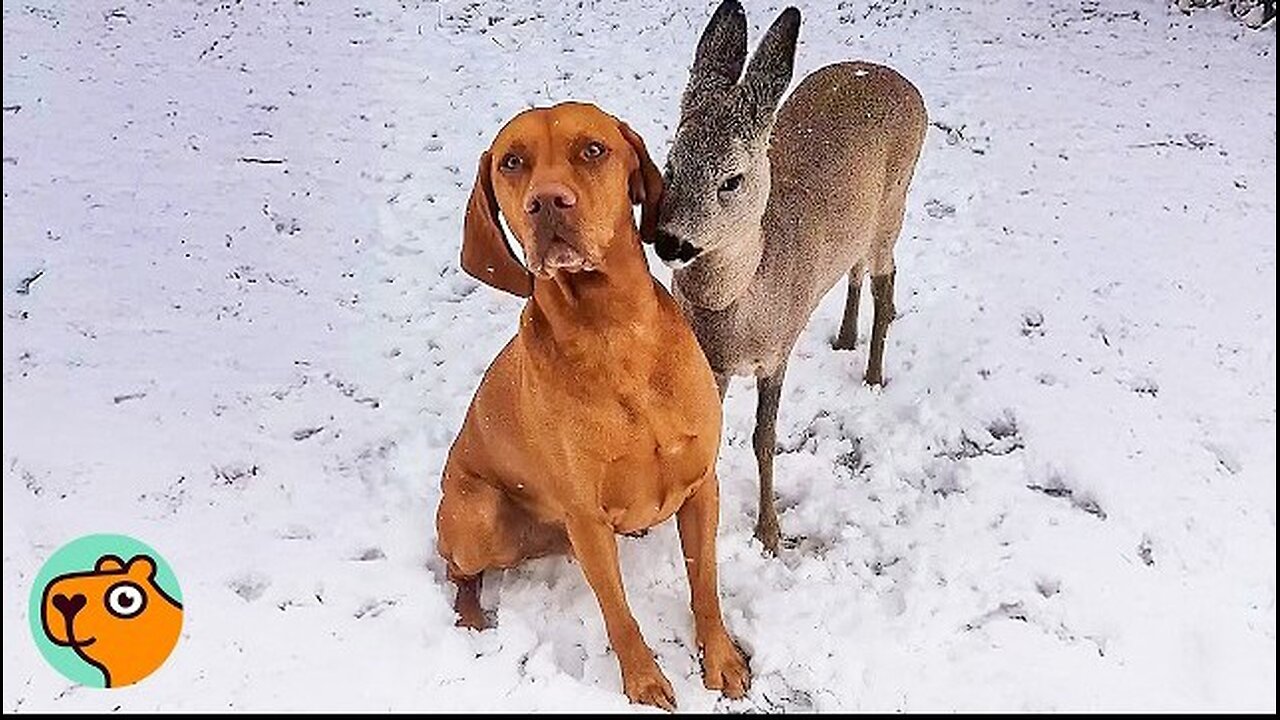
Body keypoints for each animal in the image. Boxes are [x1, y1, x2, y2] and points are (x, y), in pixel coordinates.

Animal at [437, 102, 747, 707]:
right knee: (457, 570)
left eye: (593, 150)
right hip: (478, 517)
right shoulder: (587, 522)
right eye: (512, 162)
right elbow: (619, 614)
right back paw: (471, 617)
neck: (614, 334)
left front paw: (721, 659)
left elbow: (705, 583)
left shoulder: (701, 485)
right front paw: (644, 681)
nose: (547, 201)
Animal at [655, 0, 926, 550]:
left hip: (894, 204)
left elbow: (765, 438)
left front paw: (768, 533)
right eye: (670, 164)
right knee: (855, 267)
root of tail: (896, 78)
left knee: (886, 278)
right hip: (859, 225)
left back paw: (873, 375)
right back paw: (844, 338)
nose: (671, 241)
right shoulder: (709, 361)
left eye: (731, 179)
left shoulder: (777, 351)